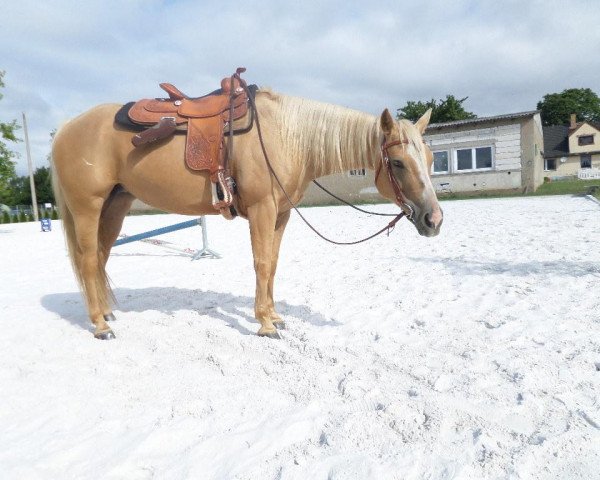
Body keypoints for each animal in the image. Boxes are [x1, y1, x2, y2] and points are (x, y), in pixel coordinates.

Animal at [52, 88, 440, 340]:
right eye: (397, 162)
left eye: (430, 159)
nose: (433, 220)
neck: (285, 136)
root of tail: (66, 128)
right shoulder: (261, 209)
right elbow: (262, 263)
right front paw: (265, 324)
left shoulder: (280, 214)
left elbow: (273, 263)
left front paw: (275, 316)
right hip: (87, 207)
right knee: (88, 260)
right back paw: (100, 325)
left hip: (115, 206)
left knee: (101, 256)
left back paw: (106, 312)